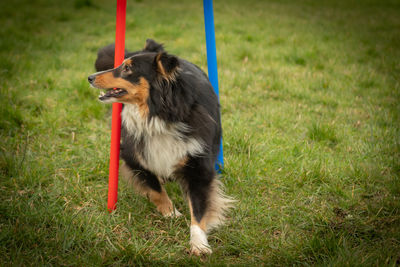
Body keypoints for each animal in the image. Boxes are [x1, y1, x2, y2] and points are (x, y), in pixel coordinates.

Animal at [86, 39, 231, 255]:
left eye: (127, 68)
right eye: (122, 64)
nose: (90, 77)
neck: (160, 115)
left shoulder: (198, 164)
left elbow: (198, 208)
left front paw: (199, 244)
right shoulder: (133, 155)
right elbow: (155, 189)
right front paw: (171, 214)